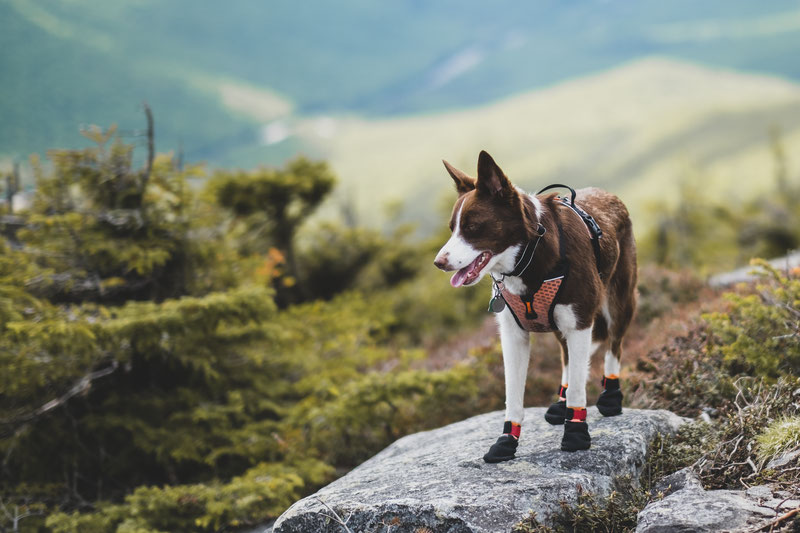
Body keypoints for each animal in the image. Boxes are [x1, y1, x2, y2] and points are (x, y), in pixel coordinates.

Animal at [434, 151, 636, 462]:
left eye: (472, 227)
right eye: (452, 229)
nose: (439, 262)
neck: (528, 259)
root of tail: (609, 194)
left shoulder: (580, 322)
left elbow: (579, 388)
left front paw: (576, 432)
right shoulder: (513, 336)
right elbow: (514, 394)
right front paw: (507, 440)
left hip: (619, 301)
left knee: (614, 344)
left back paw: (610, 396)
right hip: (558, 323)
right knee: (567, 358)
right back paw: (560, 402)